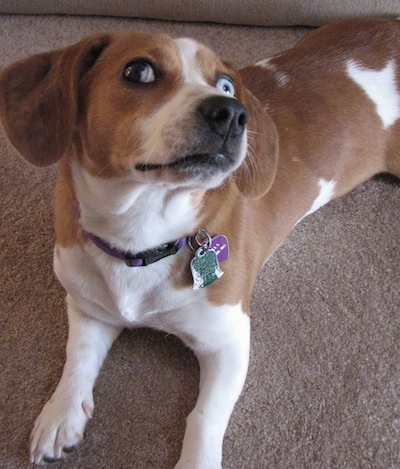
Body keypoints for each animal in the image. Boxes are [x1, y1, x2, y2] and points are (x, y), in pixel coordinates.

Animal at [0, 16, 400, 466]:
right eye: (138, 71)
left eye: (225, 84)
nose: (232, 113)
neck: (140, 238)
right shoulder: (87, 306)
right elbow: (78, 356)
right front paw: (61, 413)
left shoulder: (229, 341)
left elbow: (204, 416)